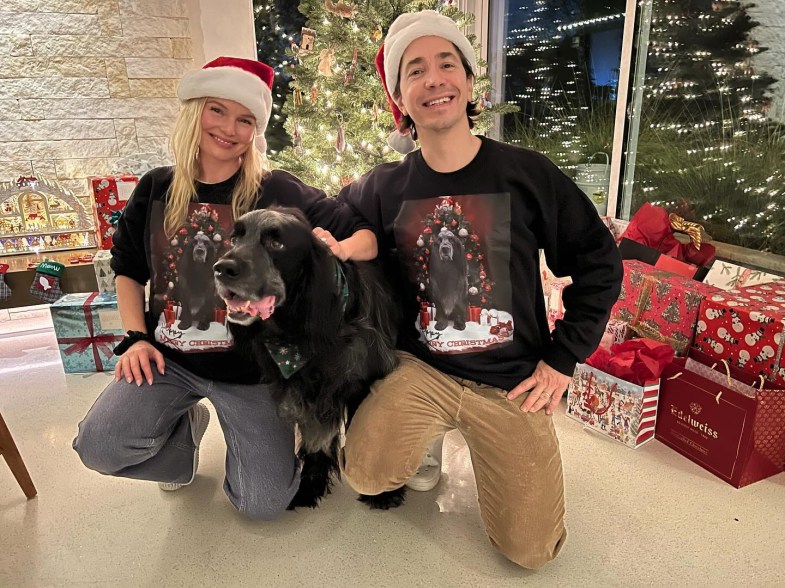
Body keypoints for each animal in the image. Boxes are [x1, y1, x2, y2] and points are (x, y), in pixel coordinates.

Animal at [214, 207, 404, 510]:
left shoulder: (360, 384)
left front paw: (383, 493)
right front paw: (309, 486)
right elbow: (316, 442)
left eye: (276, 243)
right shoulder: (304, 392)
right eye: (234, 239)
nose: (222, 269)